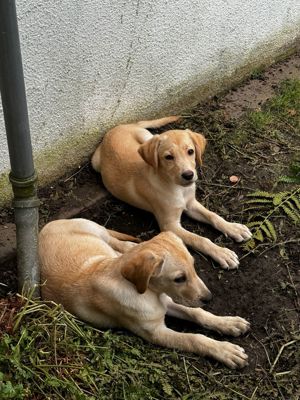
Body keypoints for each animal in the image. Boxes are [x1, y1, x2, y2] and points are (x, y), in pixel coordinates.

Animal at [40, 219, 251, 368]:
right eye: (179, 278)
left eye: (193, 265)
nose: (208, 298)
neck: (148, 292)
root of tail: (47, 225)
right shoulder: (155, 332)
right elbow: (194, 338)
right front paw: (225, 351)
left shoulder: (168, 299)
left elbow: (196, 312)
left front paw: (229, 323)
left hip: (97, 231)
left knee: (118, 242)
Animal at [92, 117, 252, 270]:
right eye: (168, 157)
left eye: (190, 151)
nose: (188, 175)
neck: (178, 188)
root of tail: (119, 127)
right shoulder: (170, 226)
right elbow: (199, 239)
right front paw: (221, 253)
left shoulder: (191, 203)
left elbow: (213, 216)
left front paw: (233, 228)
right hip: (95, 163)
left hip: (146, 136)